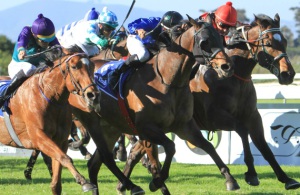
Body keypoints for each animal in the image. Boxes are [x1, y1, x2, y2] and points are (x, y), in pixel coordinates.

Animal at [0, 46, 100, 195]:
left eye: (92, 66)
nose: (93, 95)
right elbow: (65, 158)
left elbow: (56, 181)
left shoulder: (60, 140)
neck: (50, 96)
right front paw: (84, 182)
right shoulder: (39, 136)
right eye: (74, 66)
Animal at [69, 15, 236, 195]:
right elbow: (169, 148)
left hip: (110, 128)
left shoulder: (184, 126)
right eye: (205, 41)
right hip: (92, 123)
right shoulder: (146, 128)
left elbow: (208, 146)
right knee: (105, 157)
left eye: (221, 39)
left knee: (94, 164)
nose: (227, 67)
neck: (169, 80)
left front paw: (230, 179)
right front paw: (155, 182)